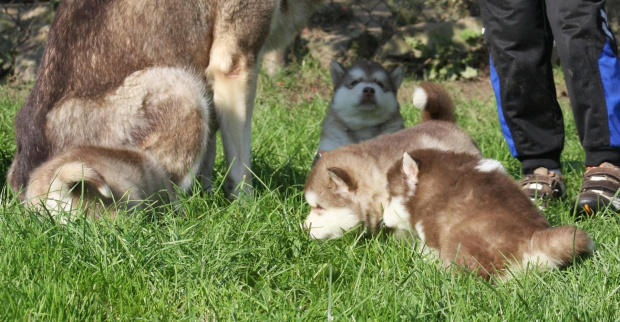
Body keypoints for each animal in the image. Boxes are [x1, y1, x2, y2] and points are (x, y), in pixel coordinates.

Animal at [7, 0, 322, 216]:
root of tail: (36, 188)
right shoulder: (234, 61)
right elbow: (240, 166)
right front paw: (245, 209)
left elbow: (210, 157)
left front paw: (210, 196)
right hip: (183, 87)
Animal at [386, 150, 592, 280]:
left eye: (390, 195)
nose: (384, 220)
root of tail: (530, 245)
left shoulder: (431, 228)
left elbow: (428, 249)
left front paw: (424, 261)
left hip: (460, 241)